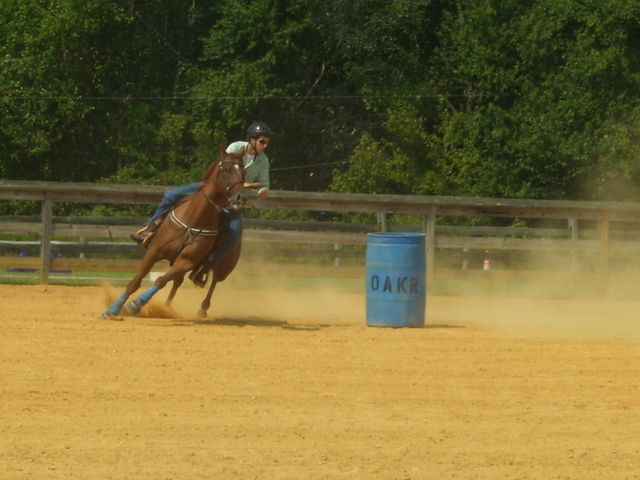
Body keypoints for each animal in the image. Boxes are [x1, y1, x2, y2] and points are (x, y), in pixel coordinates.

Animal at [99, 150, 245, 320]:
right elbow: (136, 281)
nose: (240, 197)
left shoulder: (186, 261)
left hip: (224, 267)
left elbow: (161, 281)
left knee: (214, 281)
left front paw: (135, 304)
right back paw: (166, 307)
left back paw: (202, 309)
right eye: (226, 170)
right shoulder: (154, 252)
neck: (194, 220)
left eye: (243, 172)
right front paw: (112, 310)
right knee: (177, 282)